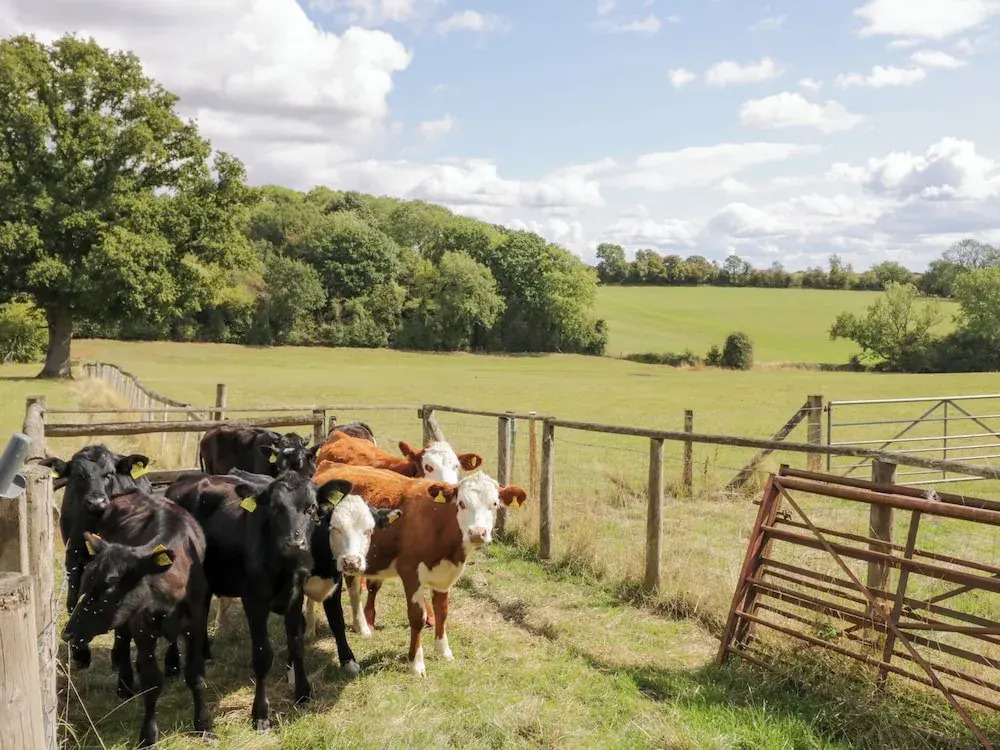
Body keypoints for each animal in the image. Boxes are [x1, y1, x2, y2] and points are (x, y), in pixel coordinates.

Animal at [61, 493, 211, 747]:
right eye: (86, 582)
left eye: (110, 586)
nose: (67, 632)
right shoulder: (143, 628)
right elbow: (152, 683)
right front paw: (148, 736)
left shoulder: (197, 624)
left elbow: (196, 676)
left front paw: (204, 726)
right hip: (126, 624)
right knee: (122, 642)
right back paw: (125, 684)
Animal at [166, 470, 392, 730]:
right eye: (274, 508)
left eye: (312, 508)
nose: (352, 562)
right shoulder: (254, 602)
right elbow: (263, 654)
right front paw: (261, 713)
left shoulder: (309, 591)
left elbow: (322, 629)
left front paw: (318, 680)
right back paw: (172, 664)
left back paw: (206, 652)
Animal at [312, 462, 526, 675]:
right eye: (462, 503)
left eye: (495, 504)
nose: (476, 533)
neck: (439, 524)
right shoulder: (410, 573)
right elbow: (417, 618)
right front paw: (416, 663)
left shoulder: (443, 577)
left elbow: (442, 612)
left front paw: (443, 651)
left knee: (354, 587)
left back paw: (361, 627)